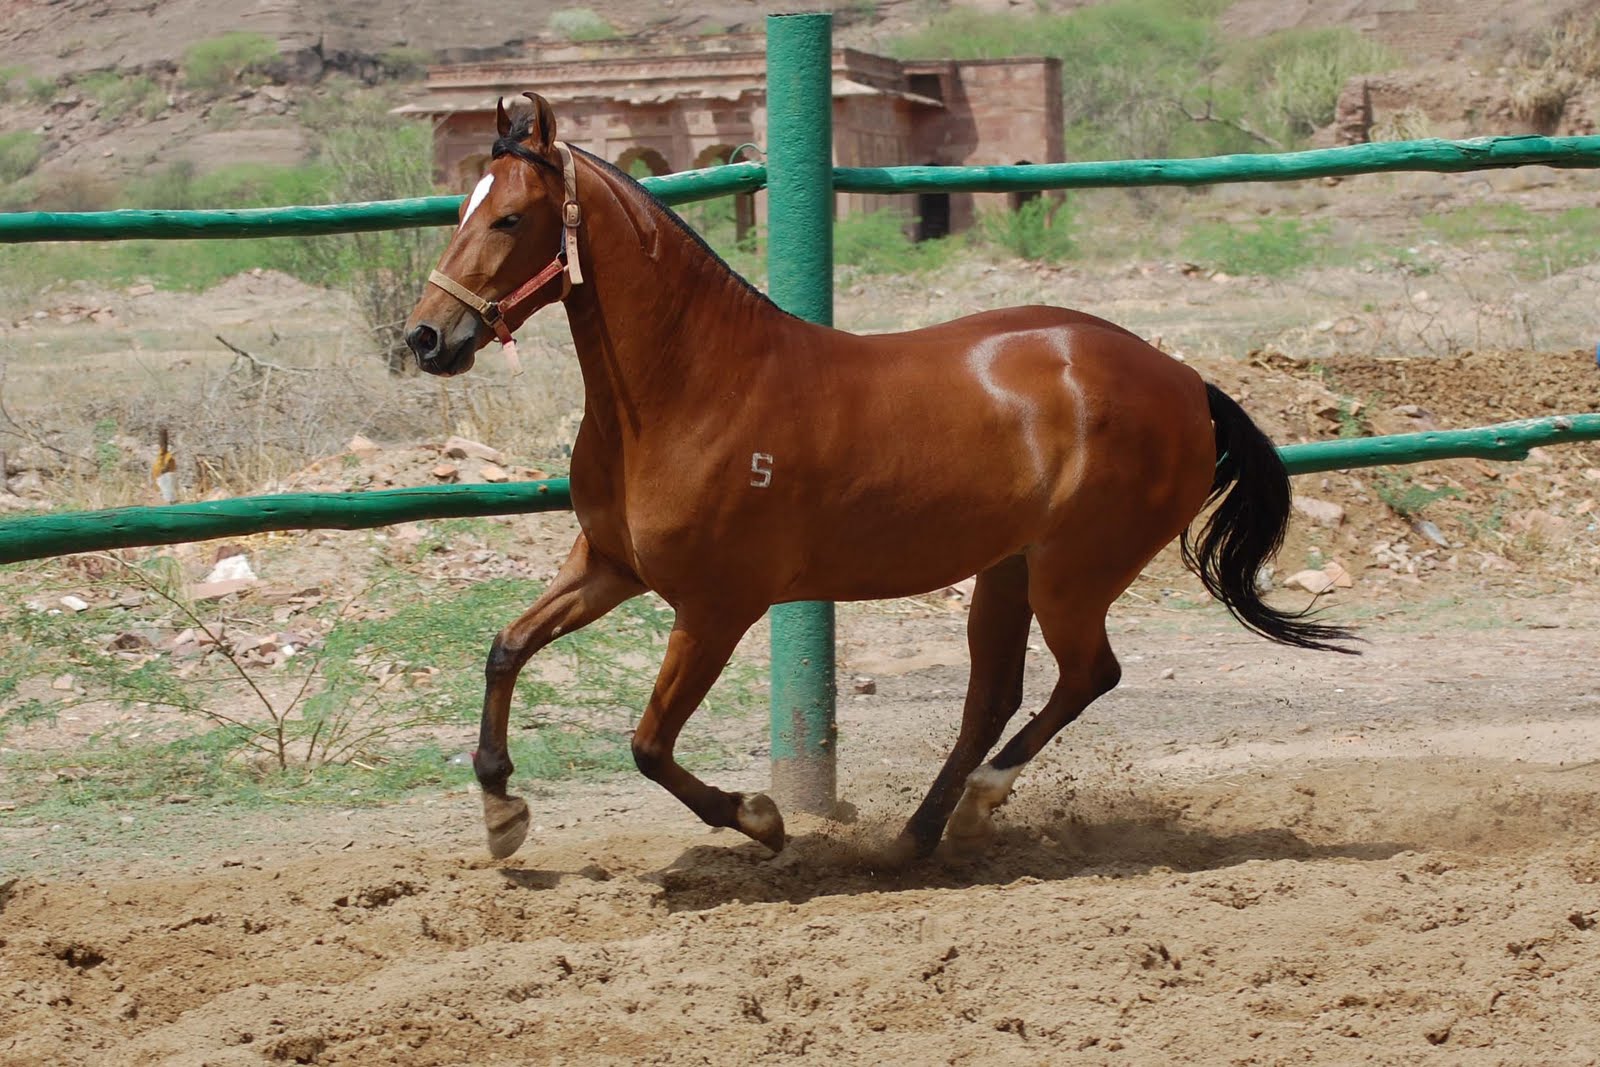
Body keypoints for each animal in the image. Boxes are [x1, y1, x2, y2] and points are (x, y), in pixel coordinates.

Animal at [403, 93, 1356, 865]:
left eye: (510, 218)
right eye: (463, 208)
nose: (426, 338)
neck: (693, 388)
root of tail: (1186, 381)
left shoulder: (716, 606)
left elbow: (649, 744)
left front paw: (762, 820)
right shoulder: (609, 565)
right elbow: (506, 647)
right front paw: (502, 815)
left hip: (1073, 573)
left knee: (1088, 677)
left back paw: (975, 810)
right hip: (1007, 571)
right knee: (994, 698)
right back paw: (916, 836)